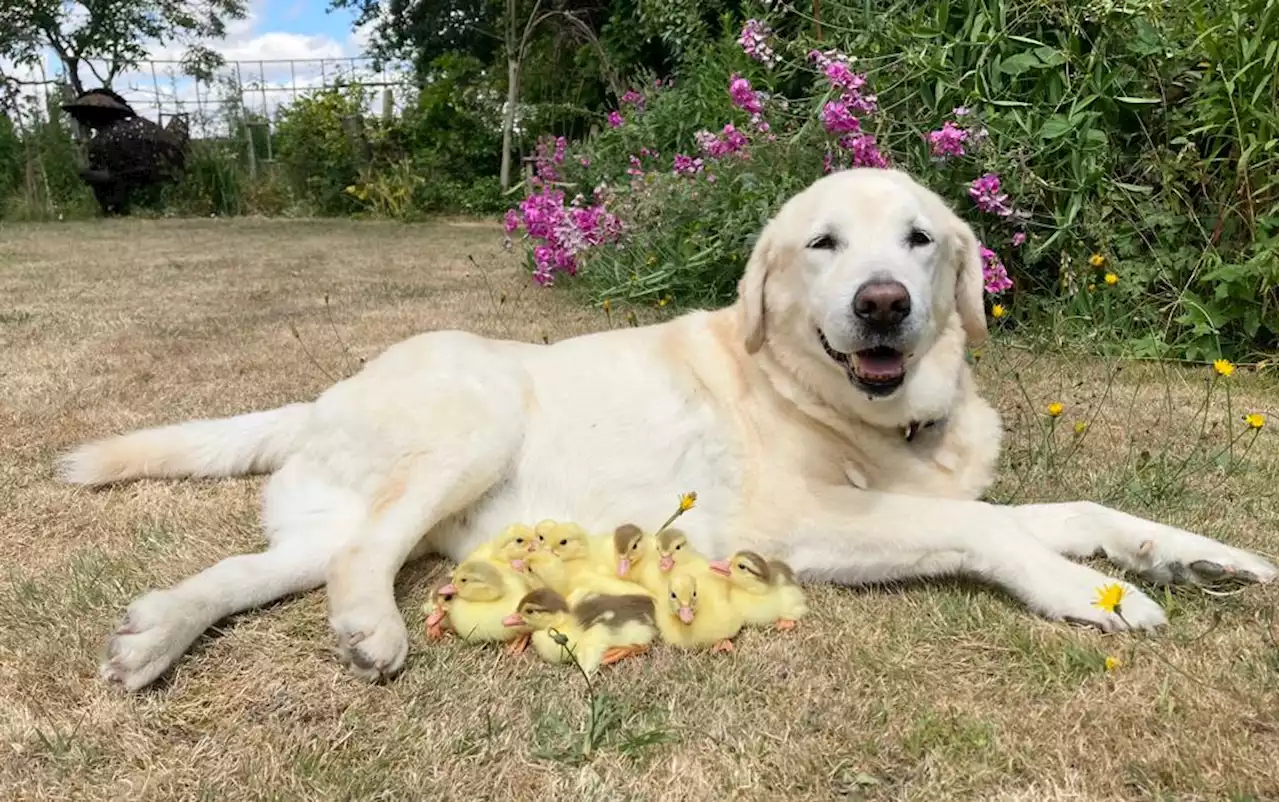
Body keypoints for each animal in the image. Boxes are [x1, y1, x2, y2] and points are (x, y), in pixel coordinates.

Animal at [62, 167, 1280, 690]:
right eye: (824, 245)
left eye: (920, 240)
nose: (883, 303)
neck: (879, 420)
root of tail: (322, 394)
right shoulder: (797, 525)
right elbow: (996, 535)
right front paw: (1094, 597)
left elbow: (1075, 511)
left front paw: (1201, 558)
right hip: (474, 426)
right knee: (362, 557)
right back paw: (370, 627)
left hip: (325, 518)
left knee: (263, 566)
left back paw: (153, 638)